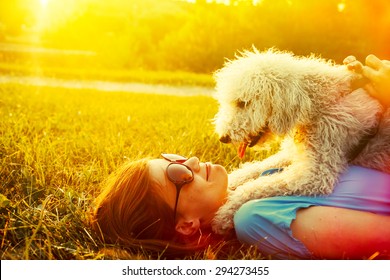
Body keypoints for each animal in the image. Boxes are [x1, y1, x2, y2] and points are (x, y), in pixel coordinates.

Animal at [213, 48, 390, 234]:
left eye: (242, 103)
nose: (223, 138)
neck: (322, 103)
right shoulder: (296, 154)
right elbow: (253, 169)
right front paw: (228, 181)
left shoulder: (317, 174)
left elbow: (258, 186)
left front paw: (225, 212)